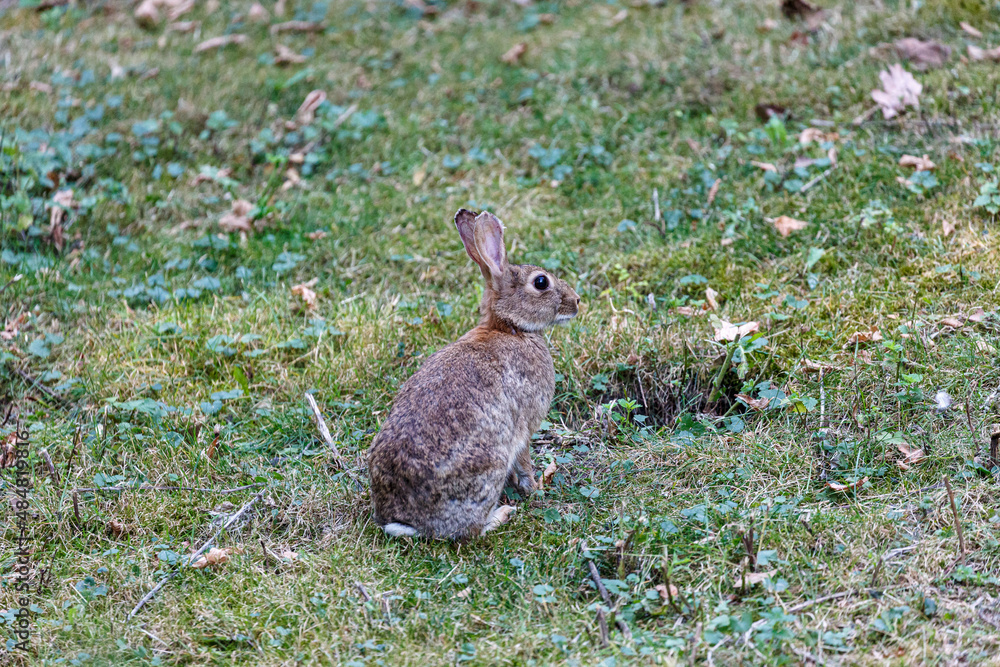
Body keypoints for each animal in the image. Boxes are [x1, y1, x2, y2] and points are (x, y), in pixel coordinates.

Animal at [367, 208, 581, 540]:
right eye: (541, 282)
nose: (577, 301)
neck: (509, 327)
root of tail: (405, 519)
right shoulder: (525, 428)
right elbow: (524, 462)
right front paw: (535, 488)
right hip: (489, 466)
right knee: (470, 531)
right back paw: (501, 514)